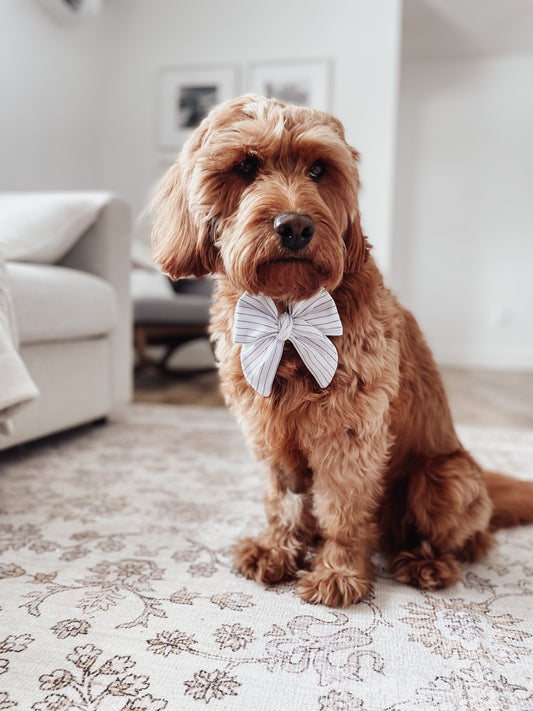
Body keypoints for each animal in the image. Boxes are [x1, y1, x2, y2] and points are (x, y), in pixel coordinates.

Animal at [150, 93, 532, 608]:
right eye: (246, 166)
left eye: (318, 169)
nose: (295, 226)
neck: (287, 313)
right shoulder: (269, 427)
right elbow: (283, 500)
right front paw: (278, 550)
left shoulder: (349, 433)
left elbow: (344, 510)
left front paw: (338, 573)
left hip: (444, 477)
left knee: (466, 539)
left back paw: (426, 562)